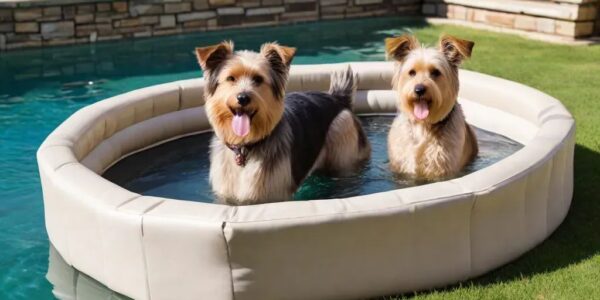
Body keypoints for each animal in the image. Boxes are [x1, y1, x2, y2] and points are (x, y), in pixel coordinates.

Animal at [195, 42, 370, 205]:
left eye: (258, 79)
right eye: (231, 78)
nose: (242, 98)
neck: (246, 146)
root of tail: (337, 98)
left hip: (343, 143)